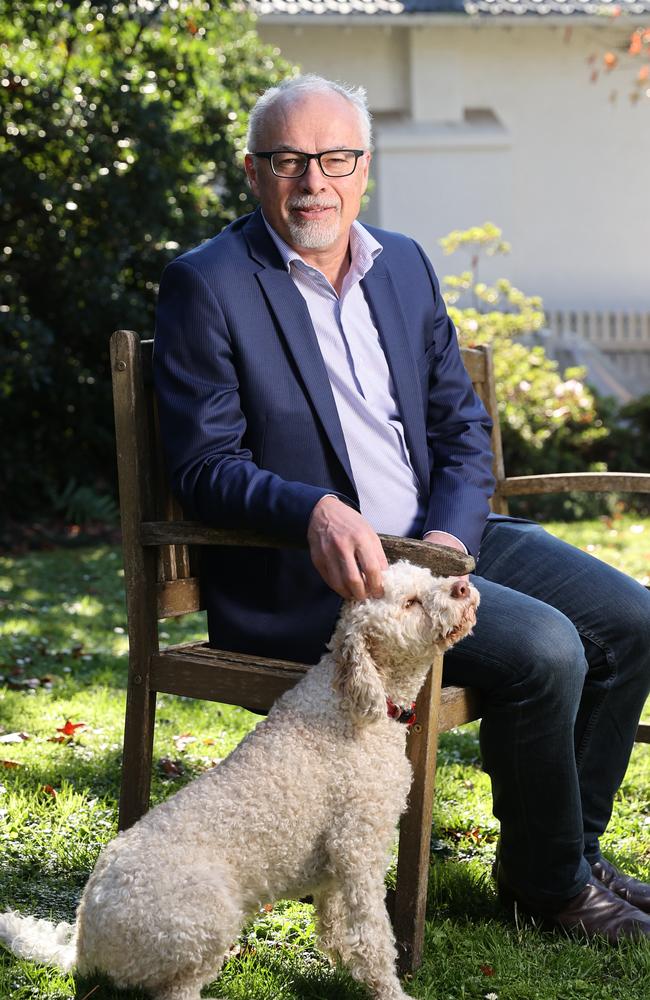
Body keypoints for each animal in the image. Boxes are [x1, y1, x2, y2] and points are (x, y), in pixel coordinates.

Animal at [0, 564, 476, 1000]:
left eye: (429, 577)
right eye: (409, 603)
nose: (463, 585)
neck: (358, 702)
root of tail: (84, 946)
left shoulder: (335, 865)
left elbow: (335, 926)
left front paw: (343, 963)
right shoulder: (358, 848)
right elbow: (372, 935)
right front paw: (388, 989)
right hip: (204, 921)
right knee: (176, 990)